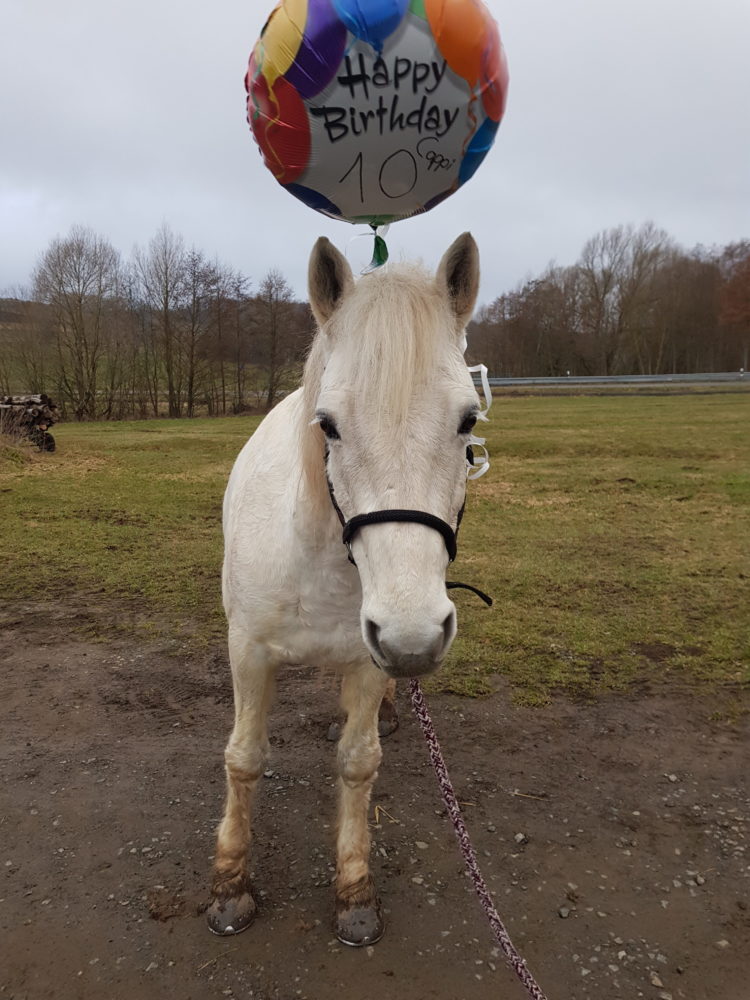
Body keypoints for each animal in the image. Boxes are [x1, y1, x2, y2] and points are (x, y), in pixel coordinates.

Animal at [209, 232, 484, 944]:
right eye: (328, 424)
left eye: (469, 421)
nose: (414, 637)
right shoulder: (248, 652)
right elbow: (244, 757)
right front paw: (230, 883)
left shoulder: (367, 658)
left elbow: (359, 761)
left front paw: (354, 888)